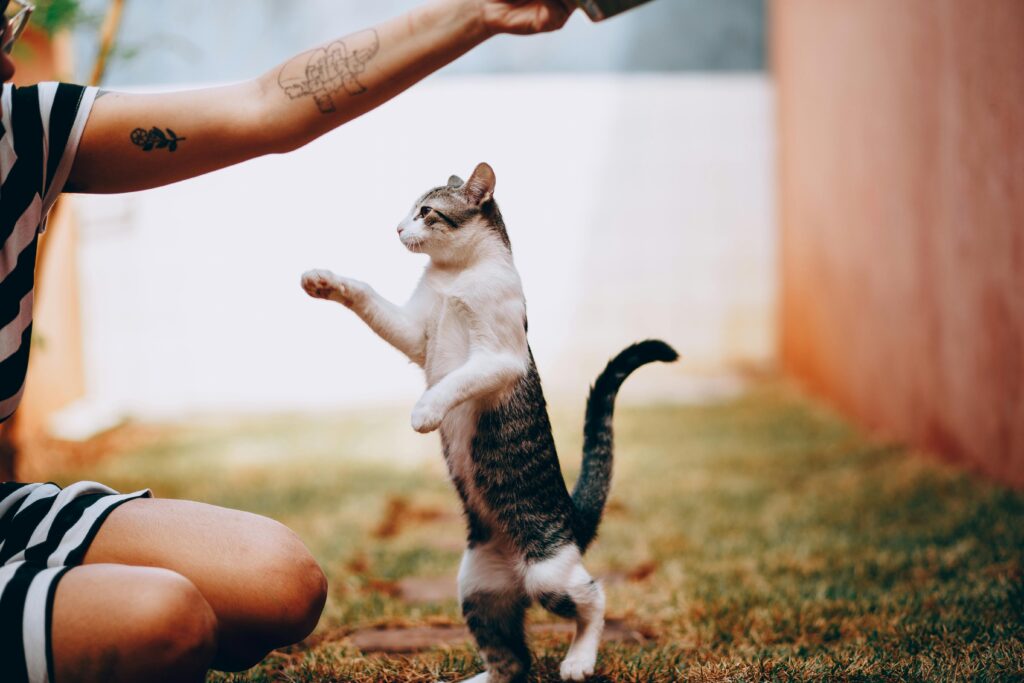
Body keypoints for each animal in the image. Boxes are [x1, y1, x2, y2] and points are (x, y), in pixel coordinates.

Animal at [299, 162, 675, 679]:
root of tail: (570, 518)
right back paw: (480, 676)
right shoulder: (415, 333)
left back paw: (579, 658)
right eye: (409, 211)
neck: (453, 277)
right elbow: (370, 298)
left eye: (425, 211)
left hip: (548, 574)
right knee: (512, 661)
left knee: (594, 599)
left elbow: (455, 382)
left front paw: (426, 411)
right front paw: (326, 281)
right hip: (477, 588)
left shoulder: (499, 359)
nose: (397, 228)